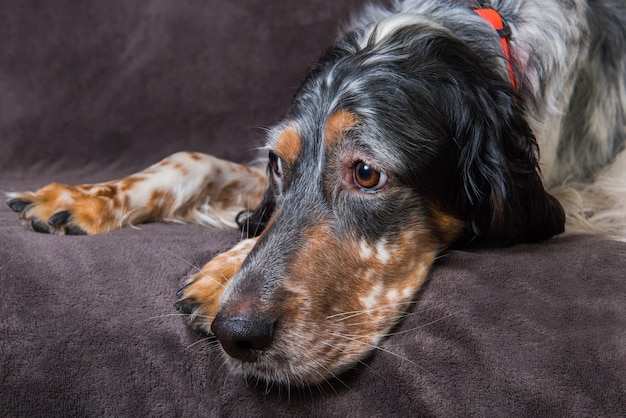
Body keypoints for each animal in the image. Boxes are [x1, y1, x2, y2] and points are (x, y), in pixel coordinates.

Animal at [6, 0, 624, 386]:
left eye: (367, 174)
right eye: (278, 163)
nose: (236, 335)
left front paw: (219, 274)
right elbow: (191, 159)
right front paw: (82, 199)